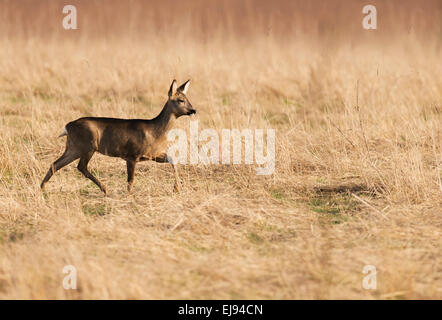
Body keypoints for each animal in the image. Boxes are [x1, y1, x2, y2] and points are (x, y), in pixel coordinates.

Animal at [39, 80, 195, 195]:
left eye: (187, 99)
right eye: (180, 100)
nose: (193, 110)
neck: (155, 131)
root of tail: (68, 126)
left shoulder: (153, 155)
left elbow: (173, 160)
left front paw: (176, 188)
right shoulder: (132, 155)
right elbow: (130, 179)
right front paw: (128, 195)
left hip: (74, 147)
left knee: (55, 164)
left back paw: (42, 188)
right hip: (88, 145)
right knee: (81, 166)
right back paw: (105, 189)